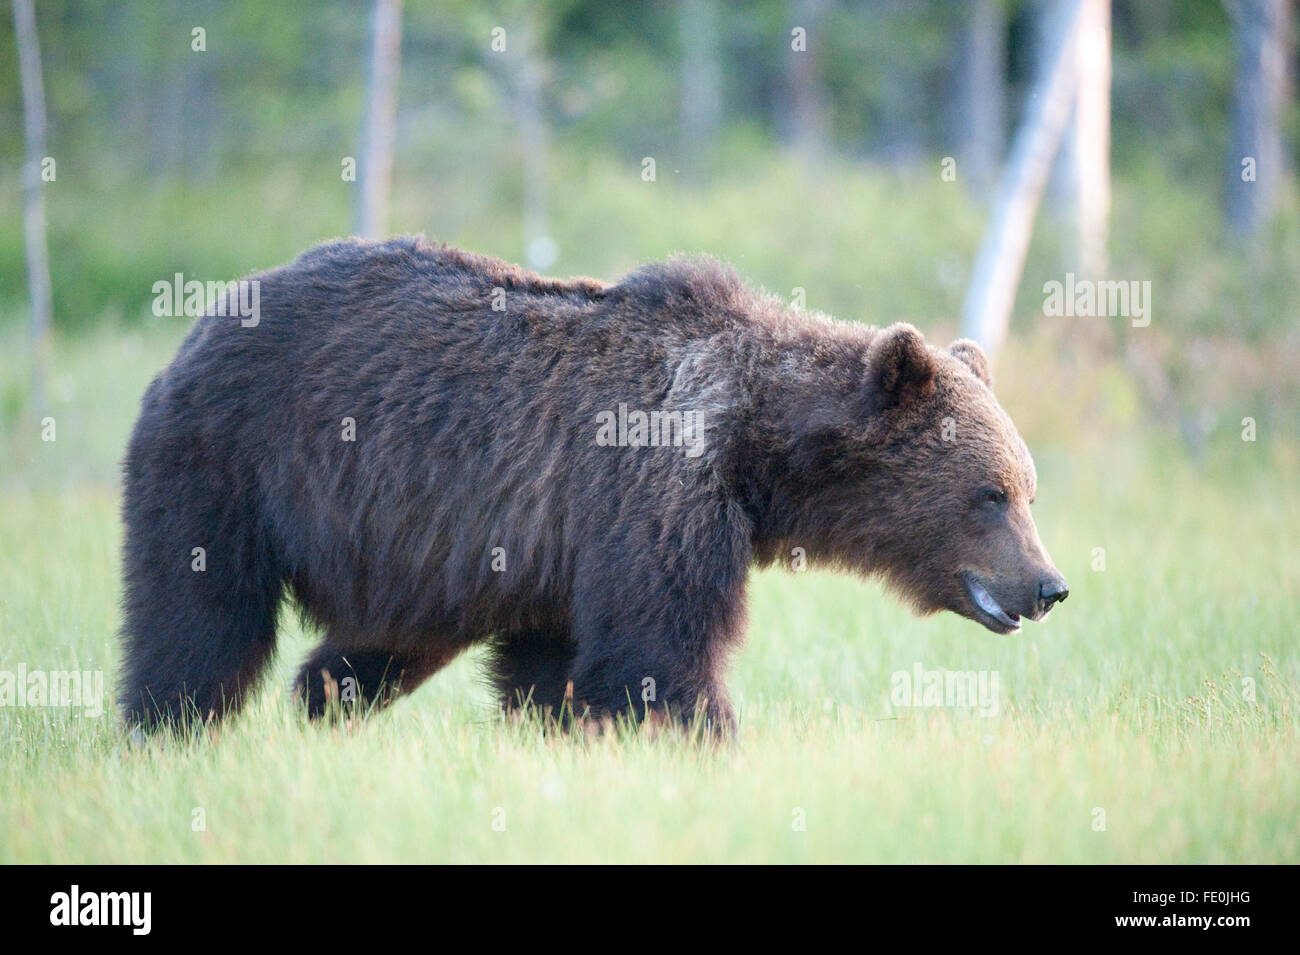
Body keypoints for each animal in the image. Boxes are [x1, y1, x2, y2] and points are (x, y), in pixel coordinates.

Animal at [120, 236, 1068, 734]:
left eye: (1028, 488)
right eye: (990, 493)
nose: (1049, 584)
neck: (756, 450)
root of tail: (207, 317)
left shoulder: (560, 554)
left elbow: (552, 667)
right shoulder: (650, 494)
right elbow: (659, 654)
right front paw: (708, 740)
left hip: (422, 553)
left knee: (379, 642)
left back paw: (319, 699)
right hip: (229, 465)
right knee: (199, 619)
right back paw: (165, 725)